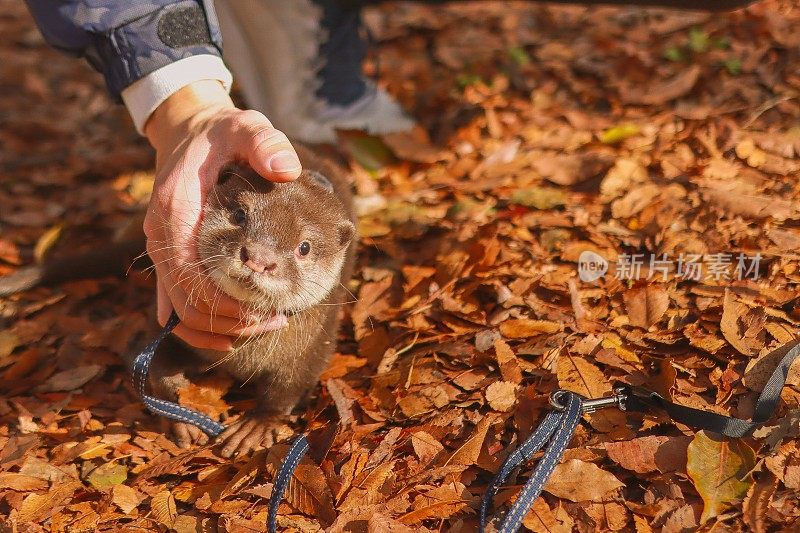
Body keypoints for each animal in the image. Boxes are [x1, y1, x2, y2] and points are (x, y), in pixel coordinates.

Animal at [0, 147, 356, 458]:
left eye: (304, 247)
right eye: (239, 215)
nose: (259, 258)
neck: (238, 356)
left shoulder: (314, 344)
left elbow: (287, 389)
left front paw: (256, 425)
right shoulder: (166, 323)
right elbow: (157, 368)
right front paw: (182, 415)